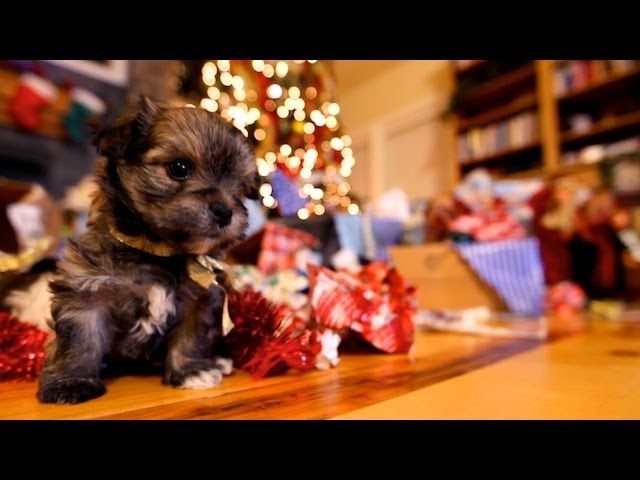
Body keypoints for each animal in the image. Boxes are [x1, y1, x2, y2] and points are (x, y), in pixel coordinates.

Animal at [36, 97, 258, 404]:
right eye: (179, 168)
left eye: (241, 189)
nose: (225, 212)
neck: (159, 253)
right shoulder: (86, 291)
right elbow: (80, 338)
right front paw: (70, 382)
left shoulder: (200, 299)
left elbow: (192, 336)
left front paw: (190, 371)